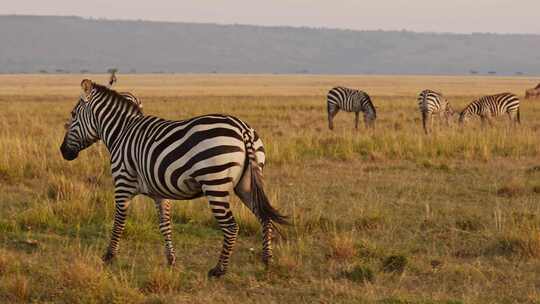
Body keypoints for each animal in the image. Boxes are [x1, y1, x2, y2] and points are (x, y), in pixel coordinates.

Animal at [59, 79, 286, 278]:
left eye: (72, 114)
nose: (62, 152)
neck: (121, 132)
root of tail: (242, 129)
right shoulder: (160, 191)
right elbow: (165, 225)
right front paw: (171, 261)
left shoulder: (122, 183)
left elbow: (119, 222)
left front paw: (109, 256)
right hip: (247, 184)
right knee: (264, 217)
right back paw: (267, 261)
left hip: (215, 184)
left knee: (231, 227)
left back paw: (219, 270)